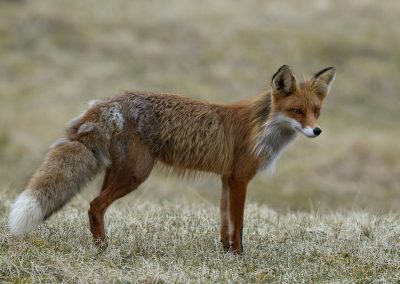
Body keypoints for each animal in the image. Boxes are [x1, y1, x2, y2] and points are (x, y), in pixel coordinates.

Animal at [8, 66, 334, 253]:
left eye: (317, 111)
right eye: (296, 111)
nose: (317, 131)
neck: (261, 128)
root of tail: (107, 103)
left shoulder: (226, 178)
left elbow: (225, 222)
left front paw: (225, 252)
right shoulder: (240, 178)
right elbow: (239, 223)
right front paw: (240, 256)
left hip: (118, 173)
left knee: (95, 208)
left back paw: (101, 244)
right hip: (136, 175)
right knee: (94, 205)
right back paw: (103, 248)